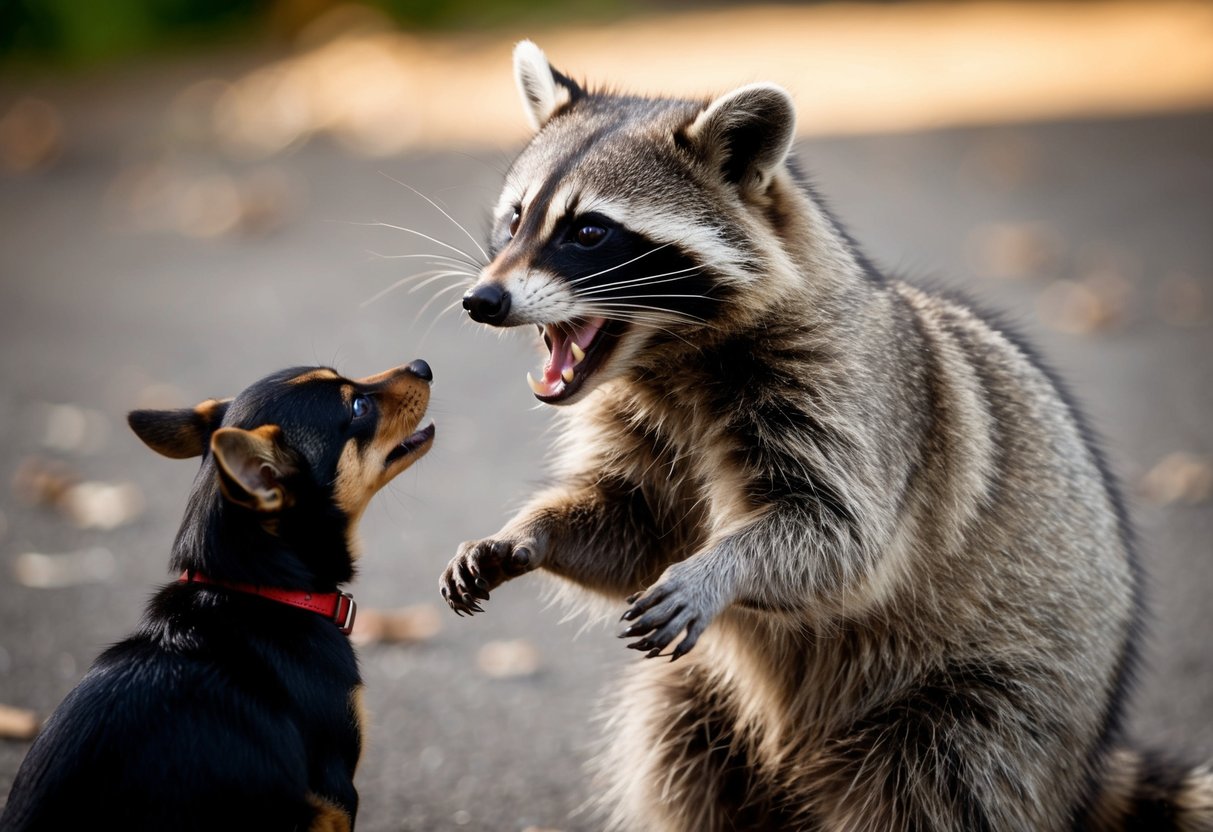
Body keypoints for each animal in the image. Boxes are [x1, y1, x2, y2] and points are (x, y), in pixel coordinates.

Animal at [440, 41, 1213, 831]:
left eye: (588, 230)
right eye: (514, 218)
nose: (481, 300)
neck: (668, 359)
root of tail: (1084, 766)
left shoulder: (850, 398)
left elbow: (840, 536)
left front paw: (721, 566)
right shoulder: (643, 427)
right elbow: (633, 526)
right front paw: (528, 535)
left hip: (992, 706)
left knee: (936, 786)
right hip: (709, 704)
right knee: (678, 754)